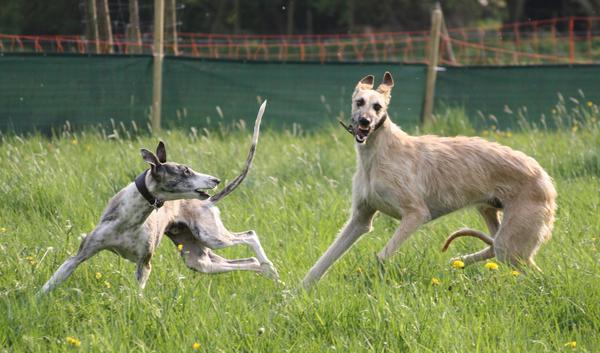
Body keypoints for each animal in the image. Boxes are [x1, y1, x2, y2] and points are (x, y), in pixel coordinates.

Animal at [41, 101, 278, 292]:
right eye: (185, 171)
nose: (216, 180)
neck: (130, 219)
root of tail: (209, 202)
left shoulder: (144, 264)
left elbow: (138, 294)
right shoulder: (79, 256)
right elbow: (50, 283)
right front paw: (36, 303)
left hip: (212, 236)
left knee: (250, 236)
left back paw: (270, 268)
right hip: (200, 260)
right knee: (248, 261)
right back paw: (268, 271)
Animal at [304, 72, 556, 288]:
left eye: (378, 107)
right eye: (359, 102)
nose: (365, 122)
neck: (378, 153)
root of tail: (546, 179)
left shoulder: (416, 214)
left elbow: (382, 256)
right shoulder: (360, 219)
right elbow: (321, 263)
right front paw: (298, 294)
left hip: (513, 244)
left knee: (534, 273)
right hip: (492, 215)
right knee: (494, 247)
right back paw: (460, 260)